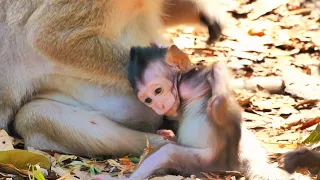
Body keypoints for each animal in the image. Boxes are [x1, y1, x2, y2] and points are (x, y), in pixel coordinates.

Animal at [92, 45, 242, 179]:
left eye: (158, 90)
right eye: (148, 100)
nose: (160, 107)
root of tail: (228, 167)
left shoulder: (188, 83)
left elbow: (217, 67)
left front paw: (219, 103)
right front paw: (168, 134)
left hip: (207, 163)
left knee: (168, 152)